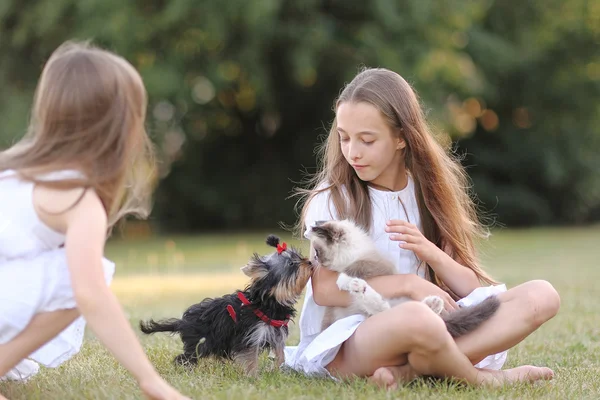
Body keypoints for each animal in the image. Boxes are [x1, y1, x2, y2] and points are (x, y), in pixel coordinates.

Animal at [308, 220, 500, 336]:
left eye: (317, 251)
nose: (315, 261)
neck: (352, 253)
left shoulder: (378, 265)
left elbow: (357, 267)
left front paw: (343, 280)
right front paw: (345, 281)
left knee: (388, 309)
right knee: (383, 309)